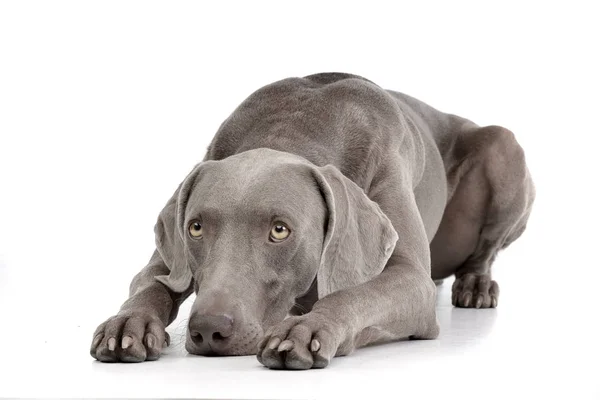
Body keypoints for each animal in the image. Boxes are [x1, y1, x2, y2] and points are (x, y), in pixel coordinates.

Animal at [89, 73, 536, 370]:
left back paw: (476, 285)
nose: (208, 329)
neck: (294, 127)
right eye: (195, 227)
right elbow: (151, 282)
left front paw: (305, 330)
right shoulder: (168, 259)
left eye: (280, 230)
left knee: (482, 252)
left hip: (504, 147)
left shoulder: (412, 281)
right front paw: (128, 322)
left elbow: (354, 295)